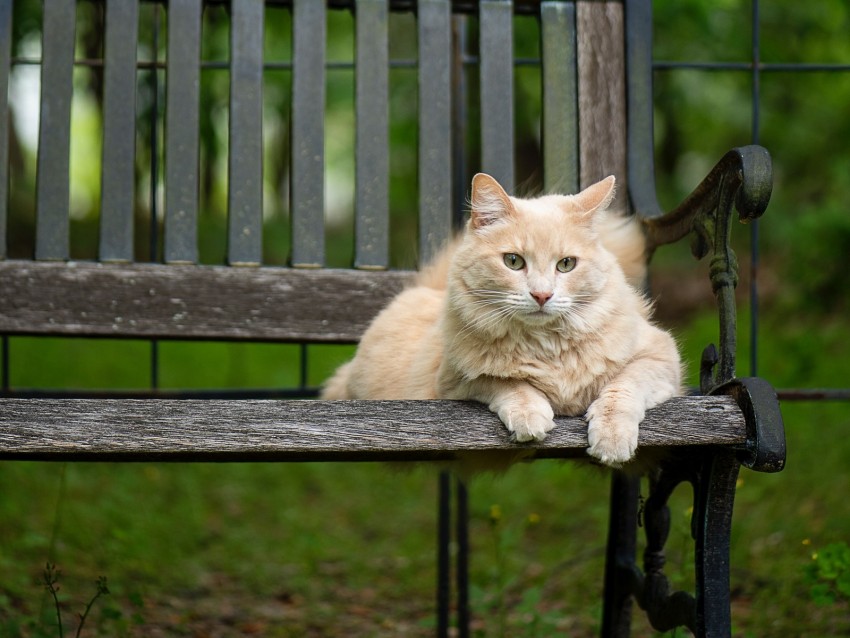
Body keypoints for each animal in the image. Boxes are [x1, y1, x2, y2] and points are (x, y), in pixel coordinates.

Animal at [322, 172, 680, 468]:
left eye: (566, 264)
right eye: (513, 261)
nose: (541, 295)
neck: (547, 347)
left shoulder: (661, 359)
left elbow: (622, 389)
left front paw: (612, 440)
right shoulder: (454, 382)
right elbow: (509, 383)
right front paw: (530, 417)